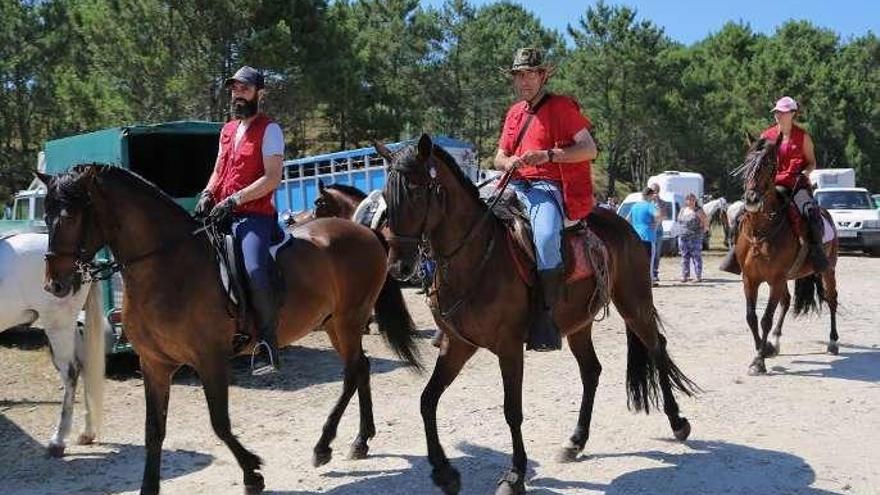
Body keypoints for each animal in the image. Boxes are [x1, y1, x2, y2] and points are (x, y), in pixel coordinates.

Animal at [0, 232, 104, 458]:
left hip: (58, 326)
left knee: (71, 373)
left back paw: (58, 441)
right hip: (70, 326)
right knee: (84, 366)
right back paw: (87, 433)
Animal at [40, 165, 422, 494]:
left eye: (71, 216)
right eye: (45, 217)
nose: (55, 284)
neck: (166, 267)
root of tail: (365, 231)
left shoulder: (210, 359)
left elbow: (219, 422)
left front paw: (252, 473)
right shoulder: (154, 365)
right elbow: (154, 430)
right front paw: (149, 487)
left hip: (348, 319)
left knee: (352, 372)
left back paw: (324, 445)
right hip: (333, 324)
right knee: (362, 369)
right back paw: (360, 441)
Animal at [382, 135, 696, 495]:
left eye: (416, 191)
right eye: (385, 196)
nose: (399, 266)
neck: (477, 258)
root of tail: (624, 224)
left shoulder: (509, 347)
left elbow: (512, 411)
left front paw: (515, 475)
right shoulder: (457, 345)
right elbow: (427, 400)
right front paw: (445, 472)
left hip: (634, 303)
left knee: (657, 348)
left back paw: (677, 422)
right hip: (579, 323)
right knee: (592, 370)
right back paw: (575, 441)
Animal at [732, 137, 844, 376]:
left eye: (769, 165)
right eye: (746, 164)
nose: (752, 199)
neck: (761, 232)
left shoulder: (775, 279)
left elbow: (765, 318)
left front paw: (758, 361)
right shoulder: (750, 279)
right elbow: (751, 317)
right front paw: (764, 348)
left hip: (828, 270)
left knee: (831, 299)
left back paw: (833, 342)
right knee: (786, 301)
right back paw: (774, 342)